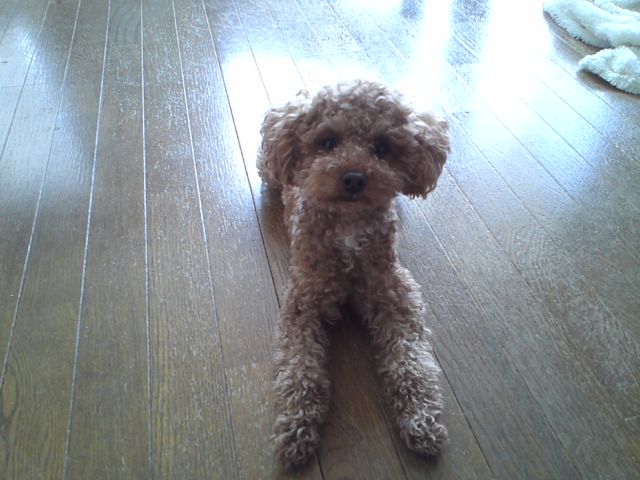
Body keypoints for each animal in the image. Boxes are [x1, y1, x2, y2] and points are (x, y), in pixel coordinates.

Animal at [257, 80, 450, 469]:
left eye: (382, 148)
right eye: (328, 142)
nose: (353, 177)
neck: (348, 227)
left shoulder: (395, 294)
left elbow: (412, 362)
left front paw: (421, 418)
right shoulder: (303, 303)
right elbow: (299, 369)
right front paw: (296, 427)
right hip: (268, 170)